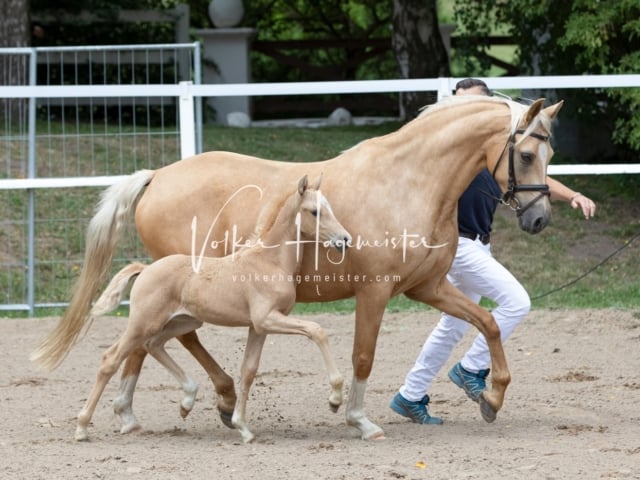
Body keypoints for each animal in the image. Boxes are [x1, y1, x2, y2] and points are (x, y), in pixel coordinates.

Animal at [79, 175, 356, 442]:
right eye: (315, 211)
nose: (345, 240)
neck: (269, 262)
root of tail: (145, 268)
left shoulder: (258, 327)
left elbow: (248, 371)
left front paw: (242, 427)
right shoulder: (267, 319)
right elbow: (317, 330)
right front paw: (334, 399)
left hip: (182, 321)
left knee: (153, 345)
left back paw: (187, 400)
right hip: (143, 322)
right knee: (111, 359)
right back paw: (82, 427)